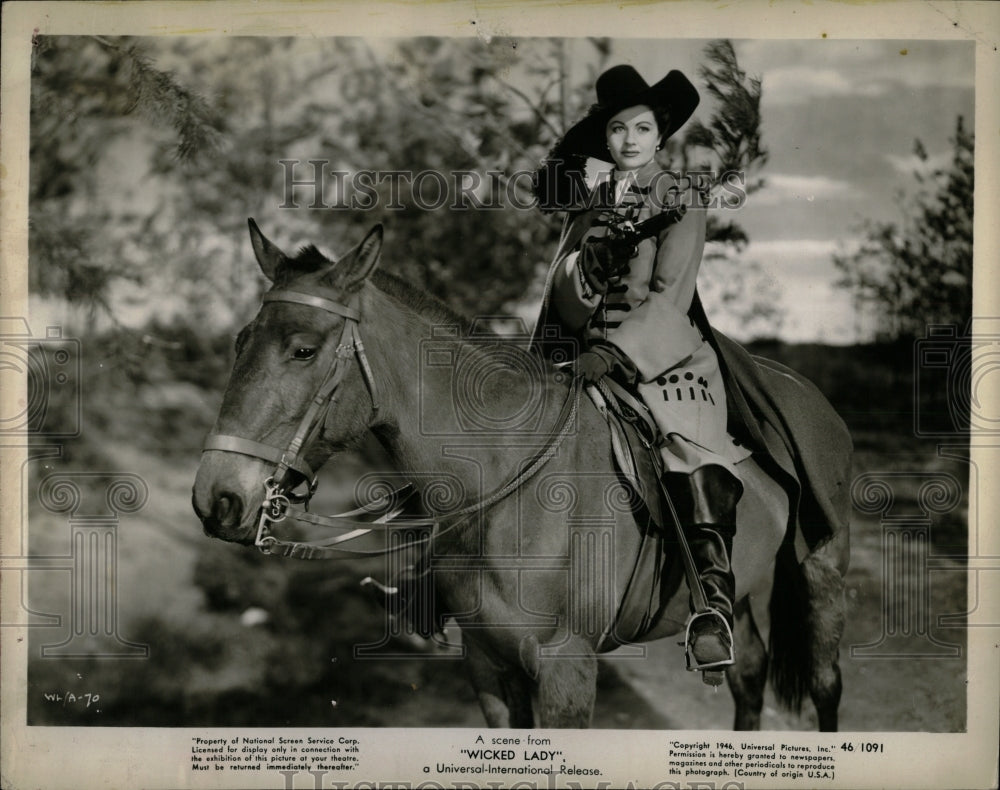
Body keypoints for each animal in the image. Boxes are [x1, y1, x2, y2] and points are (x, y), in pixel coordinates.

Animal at [193, 220, 852, 732]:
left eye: (303, 349)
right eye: (241, 342)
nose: (216, 497)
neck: (506, 481)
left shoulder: (567, 668)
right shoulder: (487, 664)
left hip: (820, 575)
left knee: (826, 686)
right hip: (737, 593)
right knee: (749, 675)